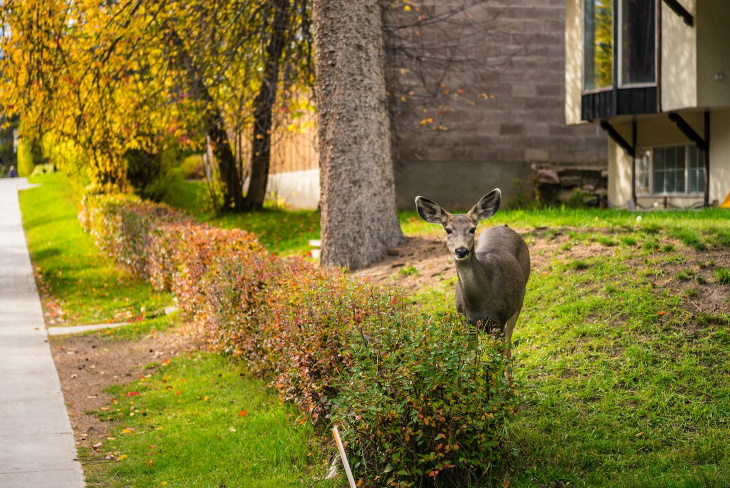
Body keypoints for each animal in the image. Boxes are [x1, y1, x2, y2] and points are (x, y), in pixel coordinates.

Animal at [416, 187, 528, 346]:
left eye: (472, 229)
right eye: (447, 230)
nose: (461, 250)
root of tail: (505, 226)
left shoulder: (499, 319)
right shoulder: (466, 322)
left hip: (520, 298)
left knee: (508, 338)